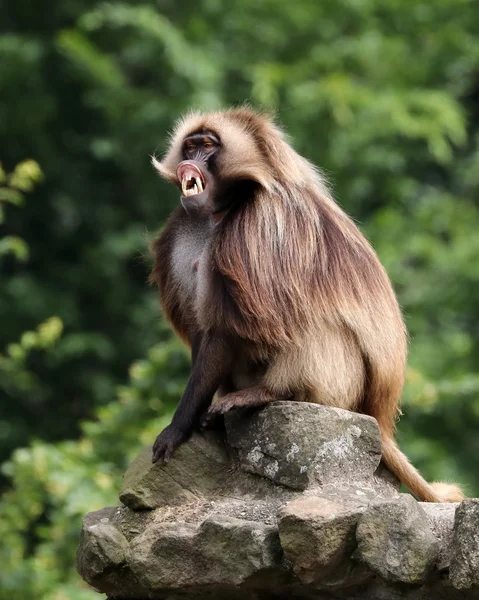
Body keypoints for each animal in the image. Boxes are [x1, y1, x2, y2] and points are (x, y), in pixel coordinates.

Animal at [151, 106, 464, 502]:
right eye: (190, 146)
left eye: (208, 147)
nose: (189, 161)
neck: (221, 212)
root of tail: (376, 416)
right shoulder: (183, 232)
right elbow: (200, 331)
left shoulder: (257, 227)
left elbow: (226, 328)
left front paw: (177, 428)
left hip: (343, 386)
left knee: (312, 322)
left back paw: (264, 394)